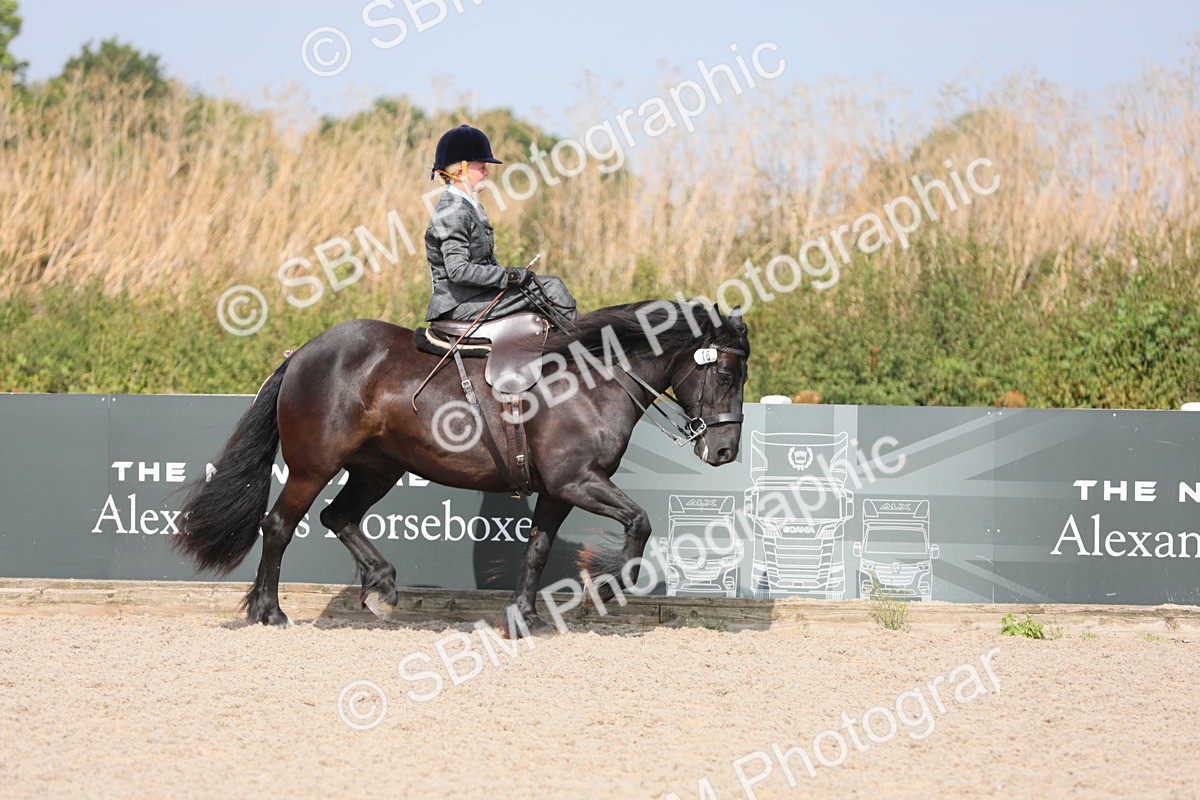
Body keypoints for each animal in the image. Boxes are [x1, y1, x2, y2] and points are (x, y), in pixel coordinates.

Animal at [173, 299, 751, 634]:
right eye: (725, 374)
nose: (725, 452)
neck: (595, 379)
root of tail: (303, 353)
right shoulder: (578, 481)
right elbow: (640, 523)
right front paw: (607, 586)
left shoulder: (558, 490)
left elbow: (537, 549)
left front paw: (523, 617)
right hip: (313, 467)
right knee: (278, 526)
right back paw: (269, 611)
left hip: (376, 469)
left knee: (338, 518)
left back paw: (381, 589)